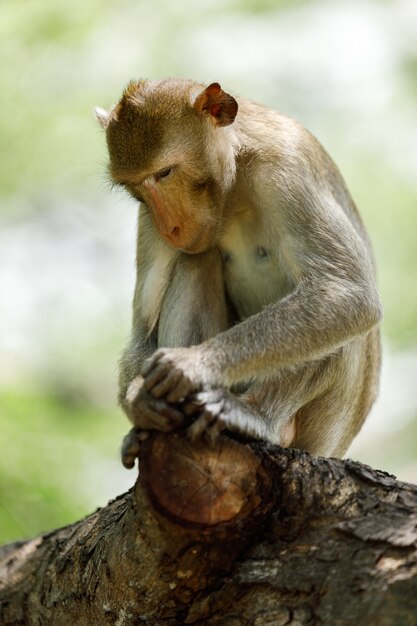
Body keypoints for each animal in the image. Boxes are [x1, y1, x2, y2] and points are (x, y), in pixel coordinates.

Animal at [96, 78, 382, 466]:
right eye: (135, 187)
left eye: (164, 173)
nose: (169, 228)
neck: (234, 175)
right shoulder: (148, 215)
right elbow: (143, 326)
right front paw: (140, 400)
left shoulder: (286, 168)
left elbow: (346, 291)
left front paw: (191, 365)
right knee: (196, 260)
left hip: (326, 427)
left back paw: (257, 417)